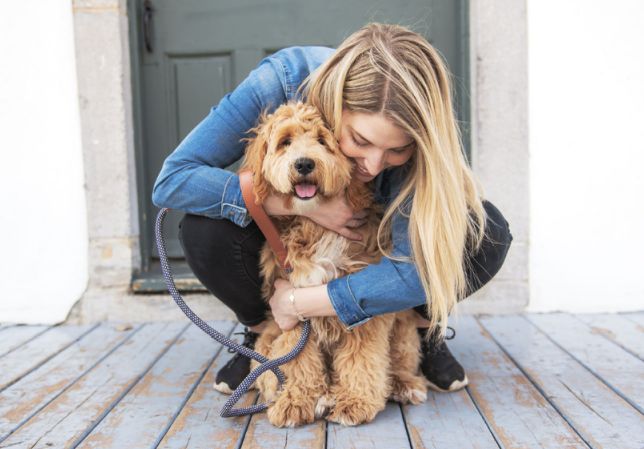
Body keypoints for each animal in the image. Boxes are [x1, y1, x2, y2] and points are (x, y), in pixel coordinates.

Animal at [236, 101, 428, 428]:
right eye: (285, 142)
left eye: (322, 141)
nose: (303, 164)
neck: (316, 225)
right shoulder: (290, 308)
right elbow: (298, 358)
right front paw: (297, 399)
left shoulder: (362, 307)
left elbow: (362, 358)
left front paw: (355, 401)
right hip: (267, 339)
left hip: (403, 332)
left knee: (398, 363)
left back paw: (404, 384)